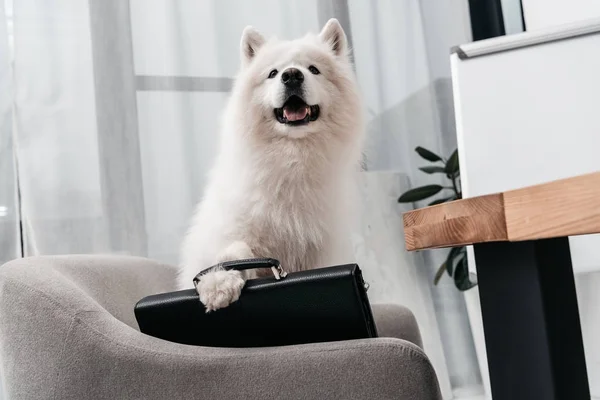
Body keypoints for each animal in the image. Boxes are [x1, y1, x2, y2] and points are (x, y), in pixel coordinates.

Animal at [179, 18, 366, 310]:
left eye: (313, 69)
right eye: (273, 73)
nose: (292, 75)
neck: (291, 160)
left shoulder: (320, 253)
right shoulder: (230, 229)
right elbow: (235, 250)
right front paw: (219, 283)